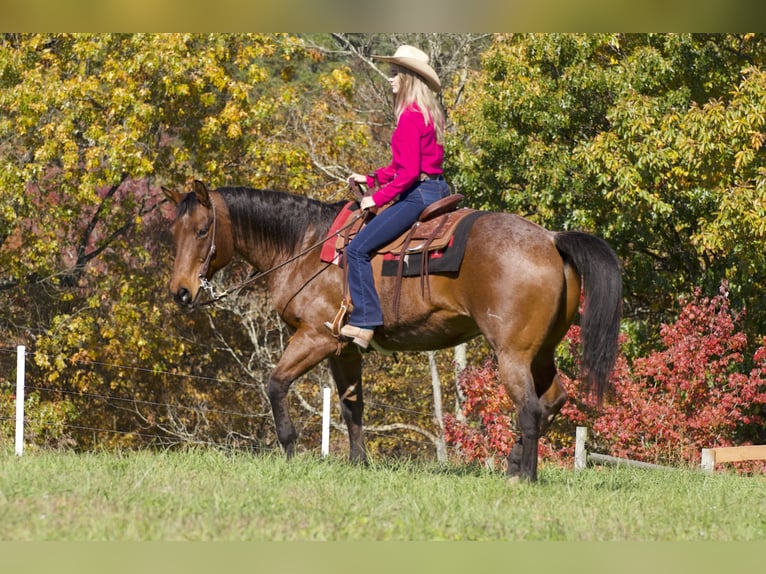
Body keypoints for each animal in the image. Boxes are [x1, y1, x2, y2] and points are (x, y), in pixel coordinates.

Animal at [164, 179, 624, 482]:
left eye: (202, 231)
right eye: (174, 232)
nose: (181, 292)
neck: (304, 246)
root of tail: (551, 239)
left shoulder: (316, 337)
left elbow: (276, 384)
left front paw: (290, 450)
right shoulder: (345, 349)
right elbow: (352, 407)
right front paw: (358, 463)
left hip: (512, 354)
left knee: (529, 409)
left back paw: (523, 477)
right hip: (541, 352)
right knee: (553, 401)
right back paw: (514, 465)